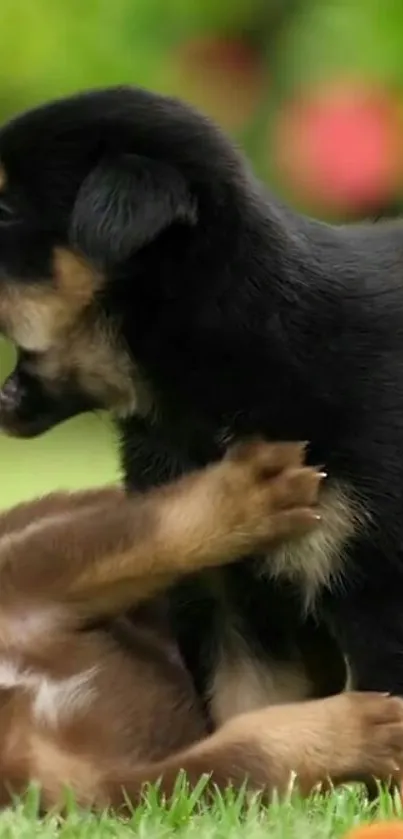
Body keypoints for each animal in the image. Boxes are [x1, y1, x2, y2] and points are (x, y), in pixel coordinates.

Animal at [0, 440, 400, 812]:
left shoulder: (29, 579)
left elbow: (139, 532)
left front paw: (254, 489)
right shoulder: (92, 788)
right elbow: (239, 757)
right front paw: (366, 731)